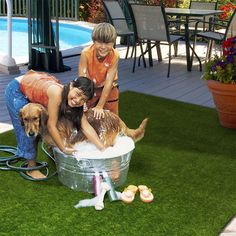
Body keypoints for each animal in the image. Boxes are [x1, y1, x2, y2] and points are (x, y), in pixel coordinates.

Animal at [19, 102, 148, 148]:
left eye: (35, 118)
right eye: (25, 119)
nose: (31, 134)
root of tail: (115, 117)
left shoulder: (67, 144)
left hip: (104, 139)